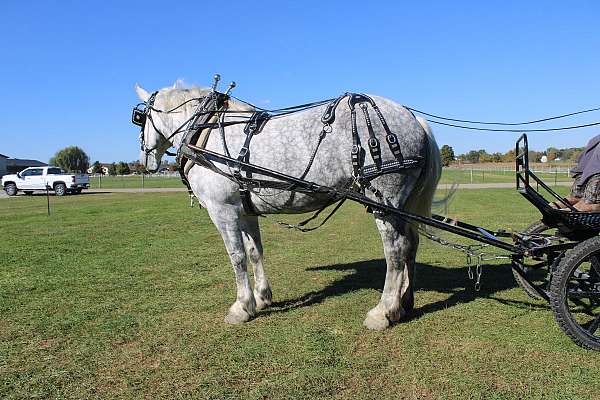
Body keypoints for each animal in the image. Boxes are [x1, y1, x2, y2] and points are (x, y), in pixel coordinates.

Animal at [135, 83, 440, 330]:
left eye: (139, 119)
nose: (145, 161)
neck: (205, 133)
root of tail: (413, 117)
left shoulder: (223, 210)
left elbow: (236, 257)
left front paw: (241, 307)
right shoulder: (246, 211)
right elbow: (255, 252)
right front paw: (261, 298)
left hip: (384, 202)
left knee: (396, 250)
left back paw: (384, 311)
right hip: (402, 205)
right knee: (411, 244)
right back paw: (405, 302)